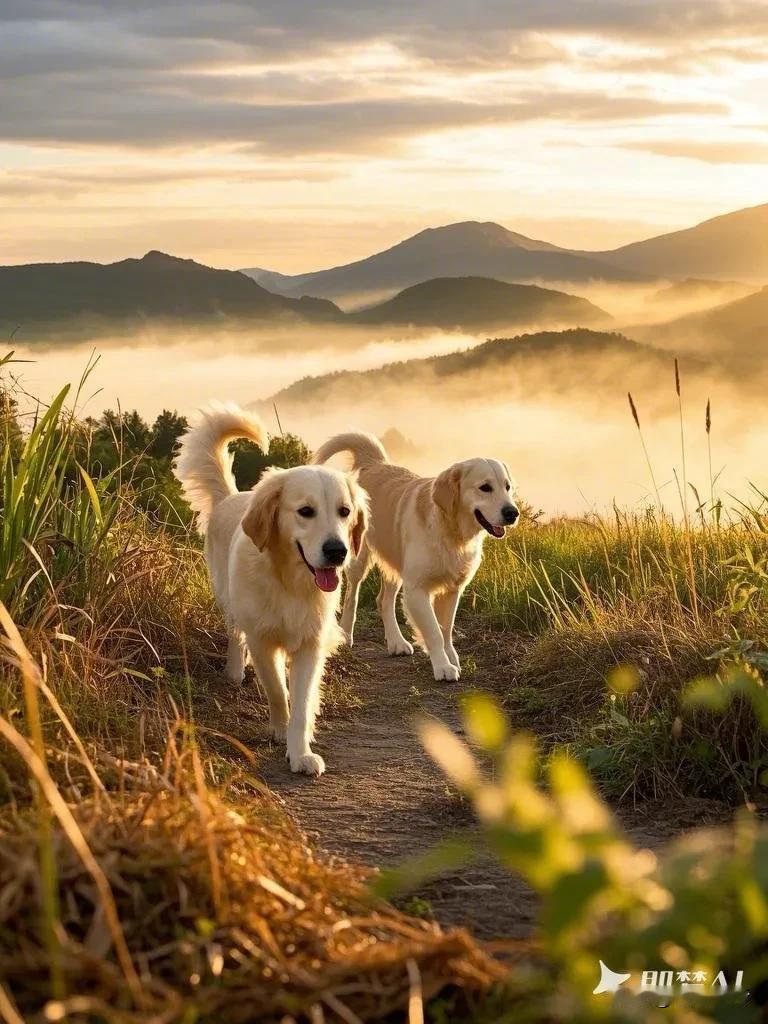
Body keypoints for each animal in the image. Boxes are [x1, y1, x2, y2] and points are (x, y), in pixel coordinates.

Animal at [176, 403, 368, 770]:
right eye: (305, 511)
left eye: (344, 511)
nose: (337, 551)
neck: (289, 582)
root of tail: (232, 497)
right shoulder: (263, 639)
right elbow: (278, 691)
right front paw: (280, 730)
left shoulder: (310, 643)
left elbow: (302, 702)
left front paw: (300, 750)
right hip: (228, 598)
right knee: (235, 635)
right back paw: (235, 670)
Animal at [313, 432, 524, 679]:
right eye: (485, 487)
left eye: (507, 487)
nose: (513, 513)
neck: (451, 532)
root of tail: (376, 463)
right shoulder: (417, 589)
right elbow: (434, 631)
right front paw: (443, 666)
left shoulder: (452, 590)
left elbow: (445, 629)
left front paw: (450, 657)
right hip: (359, 559)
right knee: (351, 596)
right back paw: (346, 635)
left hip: (396, 566)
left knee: (383, 600)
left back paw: (396, 642)